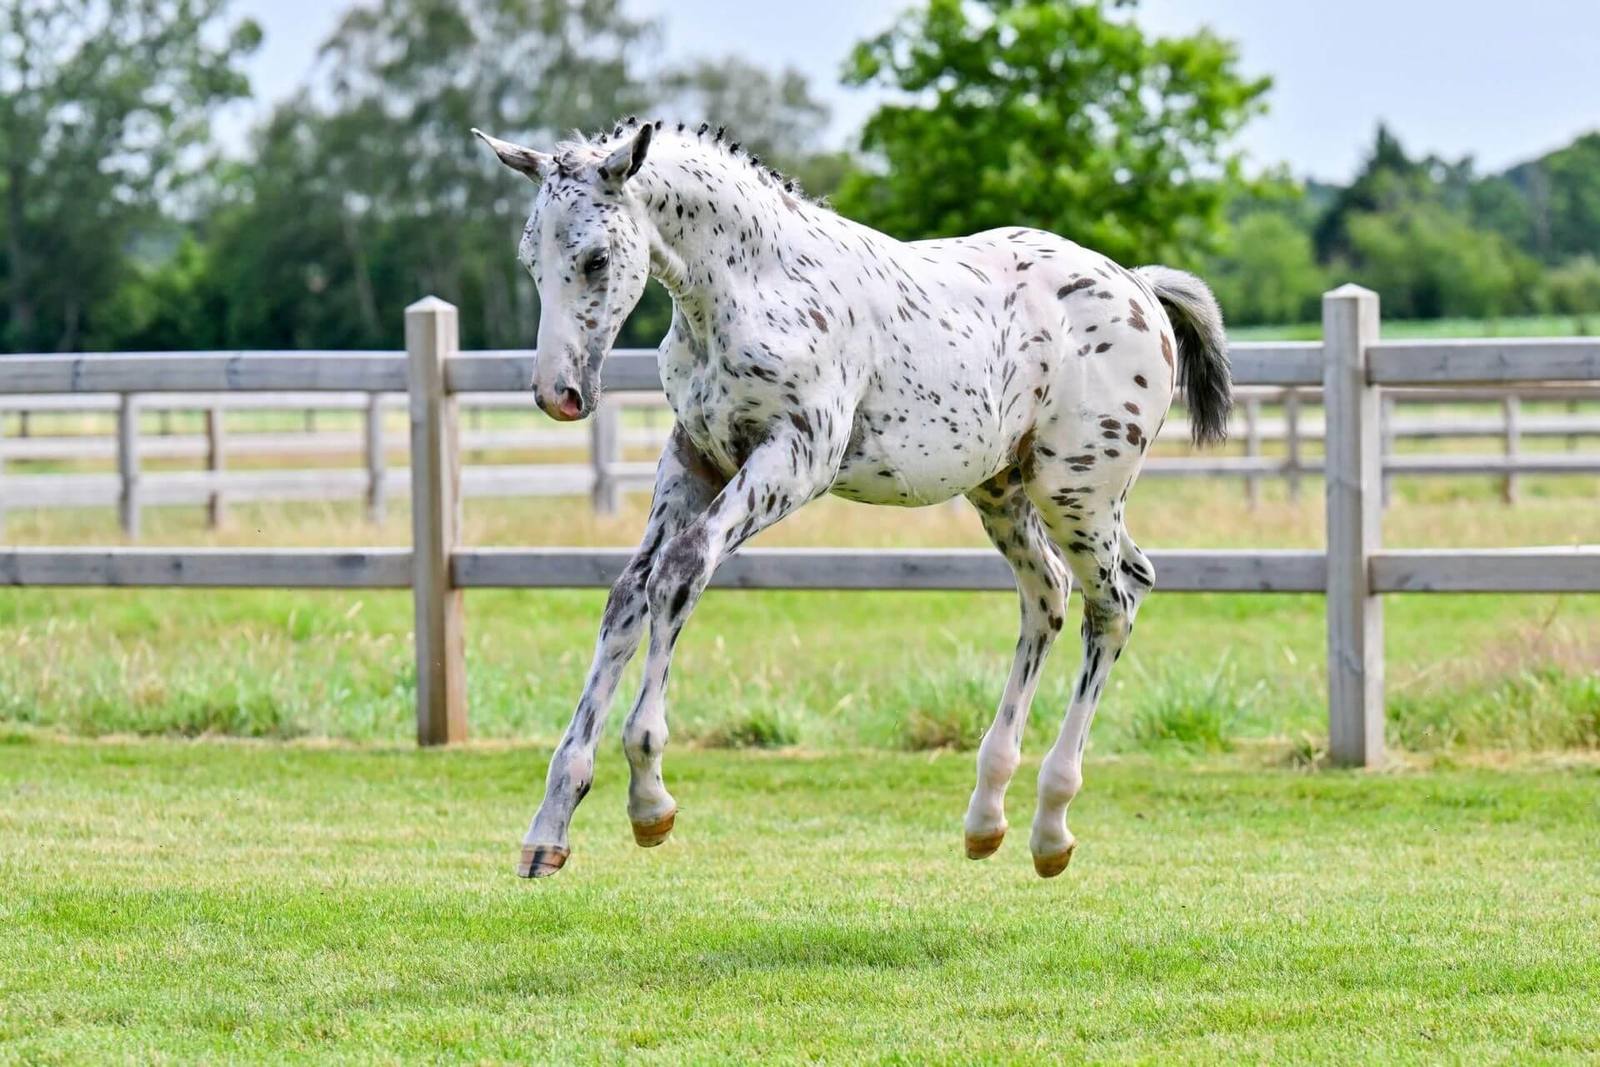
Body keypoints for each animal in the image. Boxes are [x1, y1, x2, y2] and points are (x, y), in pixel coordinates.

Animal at [473, 116, 1231, 879]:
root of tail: (1137, 285)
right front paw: (548, 830)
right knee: (1052, 593)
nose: (559, 394)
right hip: (1004, 490)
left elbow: (681, 571)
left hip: (1077, 490)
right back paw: (987, 817)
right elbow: (629, 594)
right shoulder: (695, 459)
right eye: (530, 259)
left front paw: (650, 800)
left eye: (597, 259)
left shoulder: (796, 458)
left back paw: (1050, 826)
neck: (753, 287)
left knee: (1115, 602)